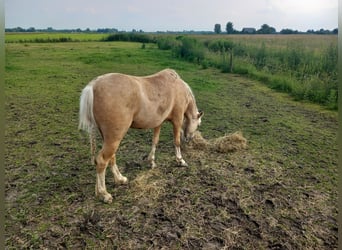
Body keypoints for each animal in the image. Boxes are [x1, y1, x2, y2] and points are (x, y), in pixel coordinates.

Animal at [79, 68, 203, 203]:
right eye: (198, 124)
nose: (189, 139)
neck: (179, 87)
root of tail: (94, 85)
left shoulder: (158, 122)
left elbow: (155, 141)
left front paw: (151, 161)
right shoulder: (177, 119)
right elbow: (176, 141)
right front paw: (180, 160)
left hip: (109, 138)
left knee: (110, 157)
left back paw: (119, 180)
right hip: (114, 138)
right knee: (102, 161)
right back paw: (104, 194)